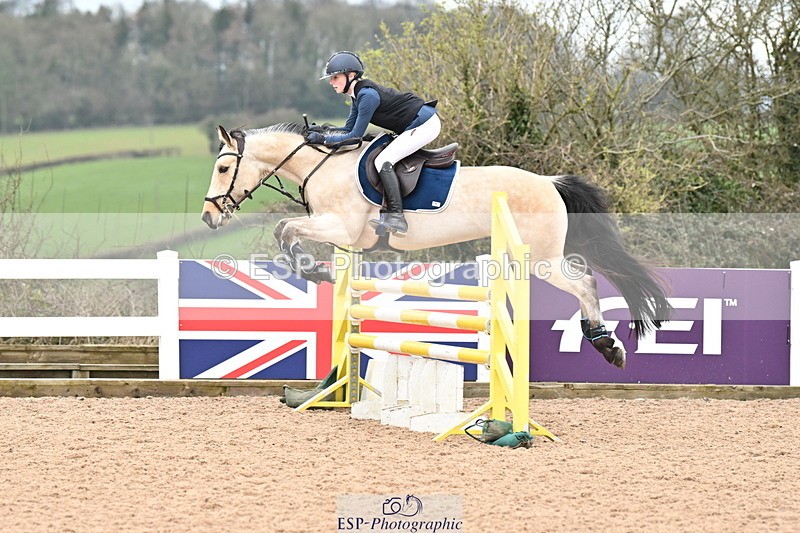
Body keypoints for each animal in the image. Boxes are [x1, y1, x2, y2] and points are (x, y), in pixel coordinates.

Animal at [202, 123, 672, 369]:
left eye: (223, 168)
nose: (208, 218)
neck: (322, 166)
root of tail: (550, 182)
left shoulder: (340, 227)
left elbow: (285, 230)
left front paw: (313, 271)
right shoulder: (343, 235)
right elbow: (288, 230)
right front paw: (319, 272)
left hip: (540, 259)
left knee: (585, 284)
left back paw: (606, 344)